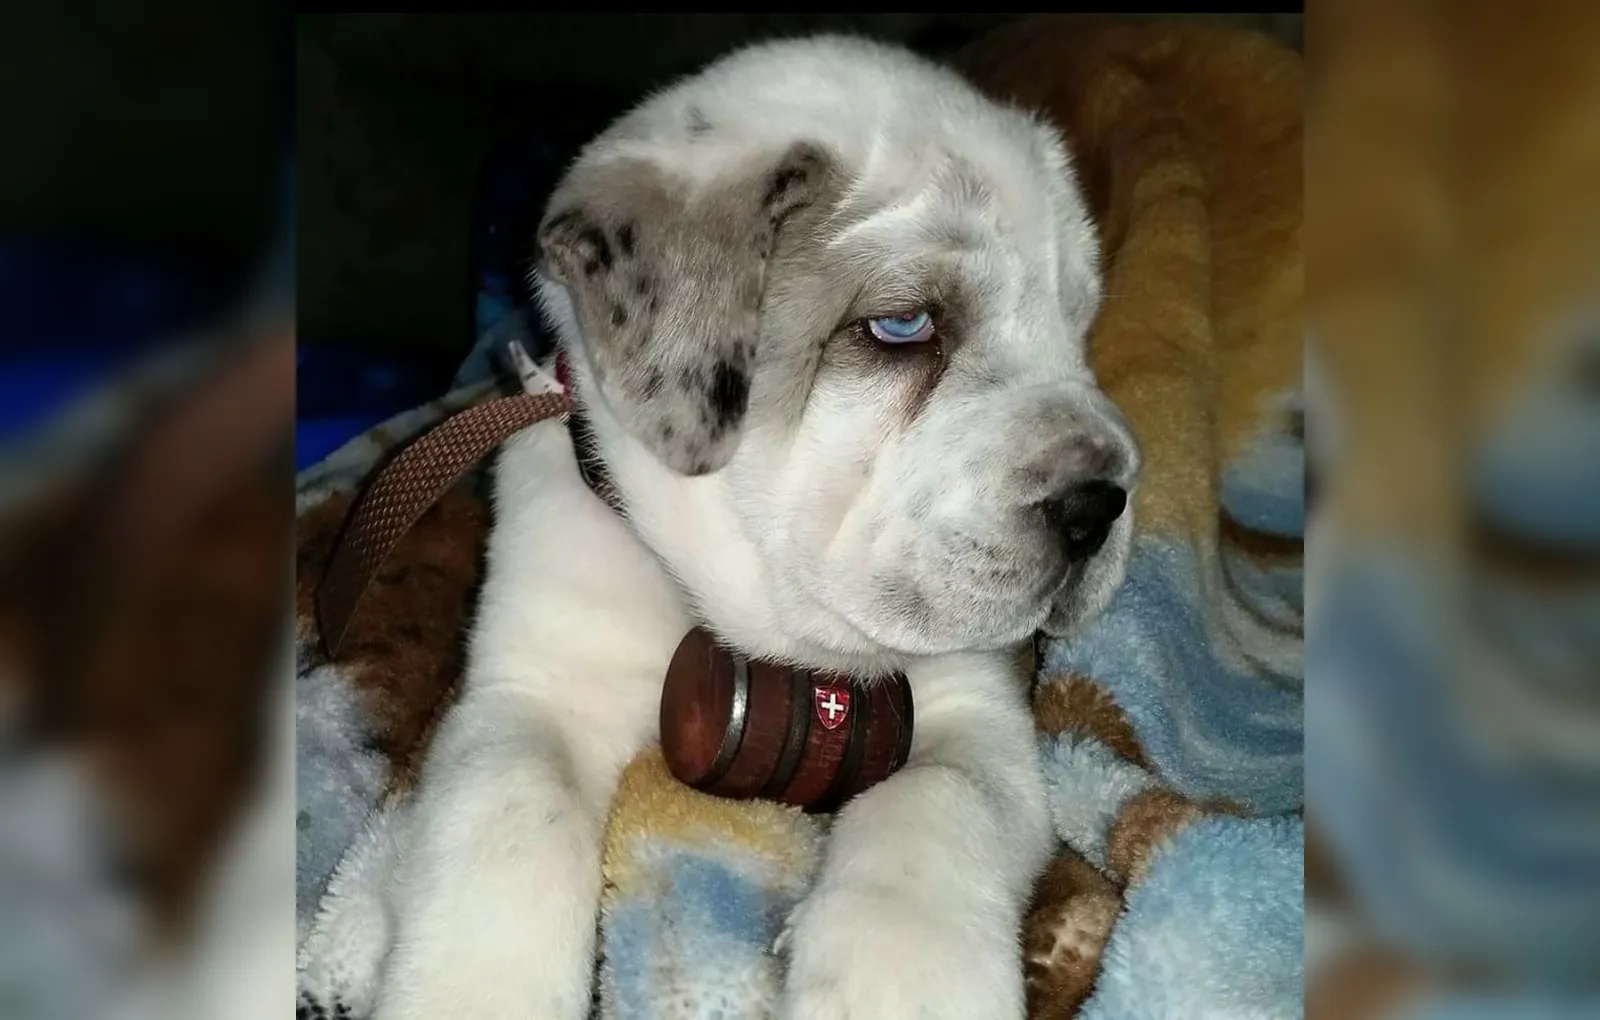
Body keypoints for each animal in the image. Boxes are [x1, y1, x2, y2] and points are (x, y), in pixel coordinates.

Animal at [373, 35, 1139, 1020]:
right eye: (904, 324)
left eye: (1076, 327)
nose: (1100, 504)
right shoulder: (535, 686)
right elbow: (515, 807)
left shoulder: (977, 710)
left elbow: (932, 803)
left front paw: (898, 982)